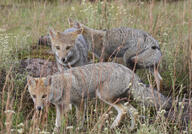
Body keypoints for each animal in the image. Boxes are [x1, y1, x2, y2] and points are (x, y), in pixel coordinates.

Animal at [27, 62, 170, 131]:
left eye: (44, 96)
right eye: (34, 96)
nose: (38, 108)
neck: (61, 86)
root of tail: (129, 71)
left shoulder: (79, 102)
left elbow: (80, 119)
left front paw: (79, 129)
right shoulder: (60, 107)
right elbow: (57, 124)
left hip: (105, 97)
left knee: (123, 111)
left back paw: (112, 127)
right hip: (121, 100)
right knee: (133, 111)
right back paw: (130, 128)